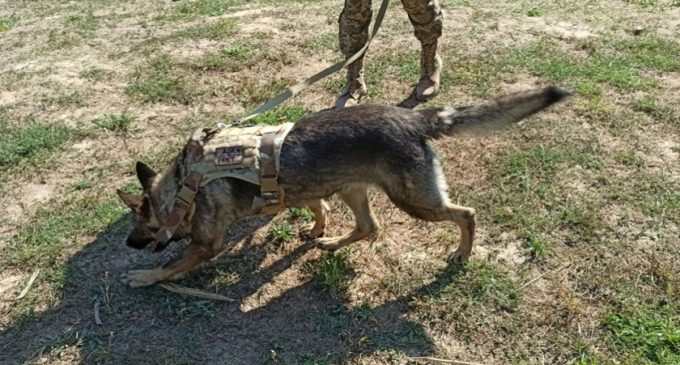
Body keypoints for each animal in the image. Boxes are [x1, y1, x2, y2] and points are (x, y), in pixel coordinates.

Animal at [117, 86, 568, 286]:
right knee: (369, 227)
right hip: (356, 190)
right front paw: (318, 229)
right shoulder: (309, 191)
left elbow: (174, 264)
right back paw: (332, 242)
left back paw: (461, 253)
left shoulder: (205, 244)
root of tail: (413, 118)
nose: (128, 244)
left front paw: (144, 276)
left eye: (144, 226)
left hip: (414, 201)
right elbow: (319, 208)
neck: (185, 184)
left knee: (466, 214)